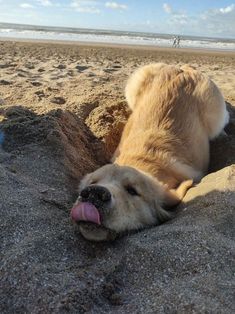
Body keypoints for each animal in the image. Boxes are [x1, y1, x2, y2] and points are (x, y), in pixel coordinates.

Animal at [70, 62, 229, 242]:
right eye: (92, 183)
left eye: (132, 190)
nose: (93, 193)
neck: (141, 161)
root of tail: (182, 69)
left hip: (215, 111)